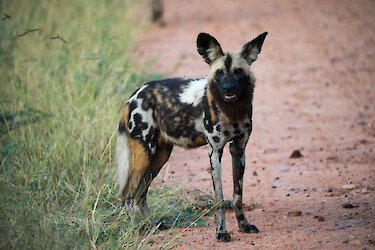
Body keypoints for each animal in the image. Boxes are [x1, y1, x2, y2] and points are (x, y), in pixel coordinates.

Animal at [117, 31, 268, 240]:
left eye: (238, 71)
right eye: (219, 73)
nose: (228, 88)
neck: (232, 110)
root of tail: (134, 95)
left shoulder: (238, 150)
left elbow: (237, 196)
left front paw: (243, 225)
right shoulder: (215, 152)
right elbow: (219, 198)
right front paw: (222, 232)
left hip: (159, 158)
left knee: (140, 194)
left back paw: (153, 225)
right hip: (143, 155)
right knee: (127, 194)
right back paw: (136, 230)